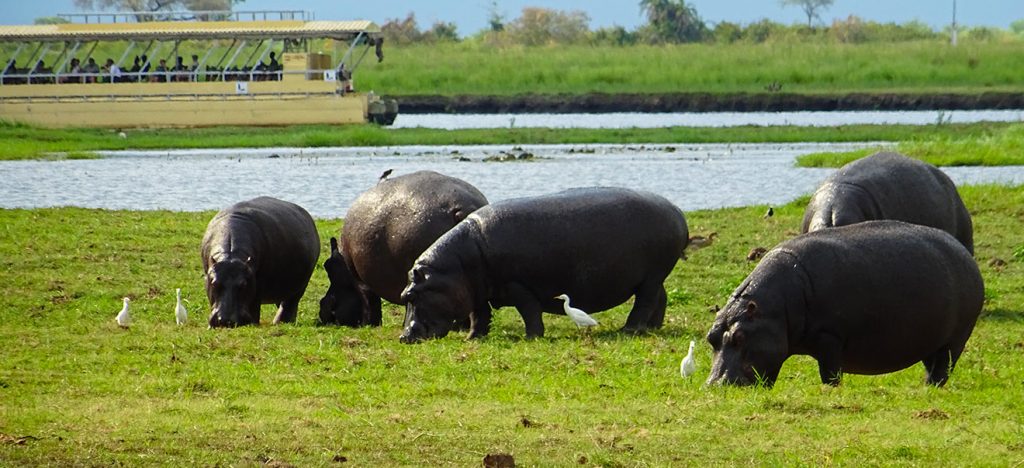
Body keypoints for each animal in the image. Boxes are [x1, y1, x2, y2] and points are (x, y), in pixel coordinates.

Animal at [201, 196, 320, 327]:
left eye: (244, 284)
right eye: (214, 283)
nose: (226, 321)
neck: (231, 256)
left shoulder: (257, 283)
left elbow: (254, 305)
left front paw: (253, 324)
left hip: (300, 285)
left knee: (289, 303)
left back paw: (280, 322)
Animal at [319, 171, 488, 326]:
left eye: (328, 301)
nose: (323, 315)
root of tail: (462, 207)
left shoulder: (360, 280)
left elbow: (370, 301)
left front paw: (370, 324)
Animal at [399, 187, 689, 343]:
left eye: (411, 294)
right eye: (404, 295)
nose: (403, 337)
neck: (456, 265)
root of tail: (676, 210)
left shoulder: (518, 285)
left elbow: (529, 311)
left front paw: (532, 337)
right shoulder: (476, 290)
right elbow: (478, 315)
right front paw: (472, 338)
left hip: (651, 276)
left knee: (644, 303)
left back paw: (629, 330)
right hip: (653, 277)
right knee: (660, 297)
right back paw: (653, 328)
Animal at [706, 220, 983, 388]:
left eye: (739, 337)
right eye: (711, 337)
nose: (714, 385)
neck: (774, 309)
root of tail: (965, 254)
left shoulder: (830, 337)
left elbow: (830, 372)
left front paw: (831, 389)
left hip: (955, 339)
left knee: (943, 368)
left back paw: (930, 388)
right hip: (932, 341)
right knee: (931, 365)